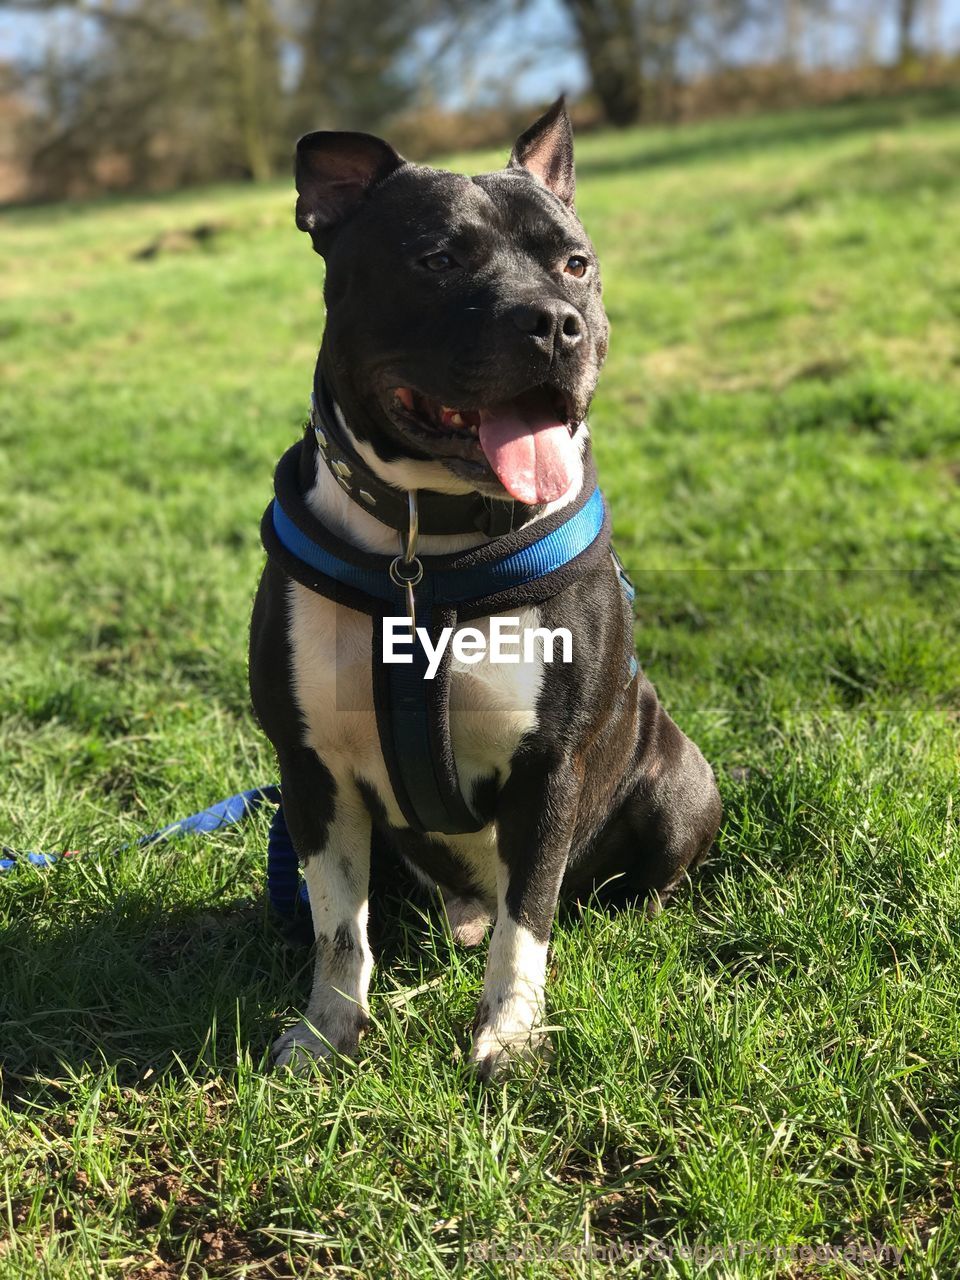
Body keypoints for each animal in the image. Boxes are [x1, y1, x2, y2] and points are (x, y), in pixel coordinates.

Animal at [248, 102, 721, 1080]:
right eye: (436, 259)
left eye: (576, 263)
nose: (555, 323)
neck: (424, 547)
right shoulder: (313, 775)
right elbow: (338, 928)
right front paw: (327, 1031)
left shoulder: (547, 772)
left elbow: (525, 922)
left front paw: (509, 1034)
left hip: (679, 782)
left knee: (623, 885)